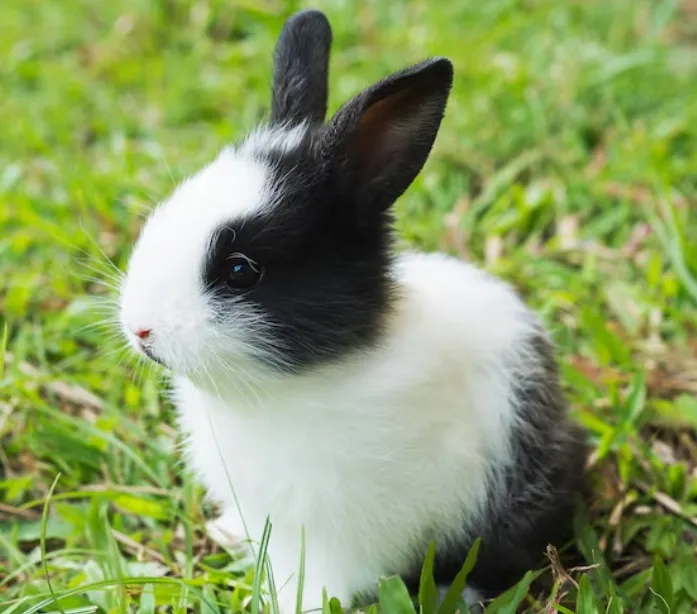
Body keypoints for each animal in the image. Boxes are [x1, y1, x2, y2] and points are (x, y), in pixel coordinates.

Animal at [118, 8, 587, 612]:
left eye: (242, 271)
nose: (140, 329)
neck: (290, 386)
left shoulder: (337, 536)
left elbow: (325, 580)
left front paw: (297, 604)